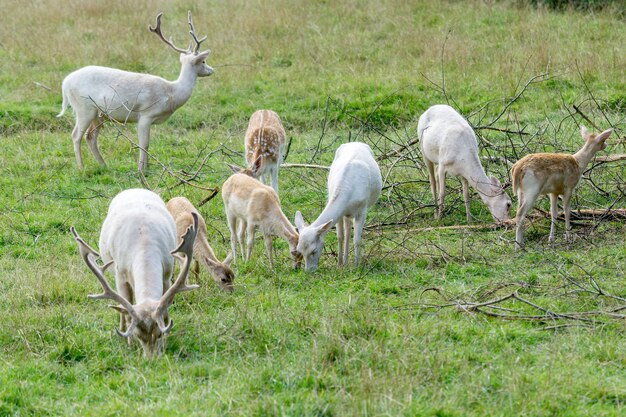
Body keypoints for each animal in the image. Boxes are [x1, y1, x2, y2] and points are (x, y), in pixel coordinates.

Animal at [56, 11, 212, 171]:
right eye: (204, 61)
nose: (211, 70)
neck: (171, 93)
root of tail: (65, 83)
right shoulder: (146, 114)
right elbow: (144, 144)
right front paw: (141, 170)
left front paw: (146, 167)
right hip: (84, 108)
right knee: (76, 135)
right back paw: (81, 168)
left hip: (99, 114)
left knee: (90, 136)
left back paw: (104, 165)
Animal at [70, 188, 197, 354]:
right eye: (138, 335)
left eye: (158, 334)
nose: (152, 358)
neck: (144, 240)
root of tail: (135, 189)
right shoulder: (121, 276)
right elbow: (128, 311)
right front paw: (129, 343)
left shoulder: (167, 274)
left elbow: (165, 311)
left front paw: (167, 340)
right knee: (123, 310)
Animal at [292, 141, 380, 272]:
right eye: (299, 250)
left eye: (314, 250)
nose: (309, 271)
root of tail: (356, 142)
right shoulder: (340, 214)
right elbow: (340, 237)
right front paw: (339, 264)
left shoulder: (362, 209)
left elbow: (357, 239)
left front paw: (357, 266)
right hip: (346, 214)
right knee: (347, 231)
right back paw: (345, 261)